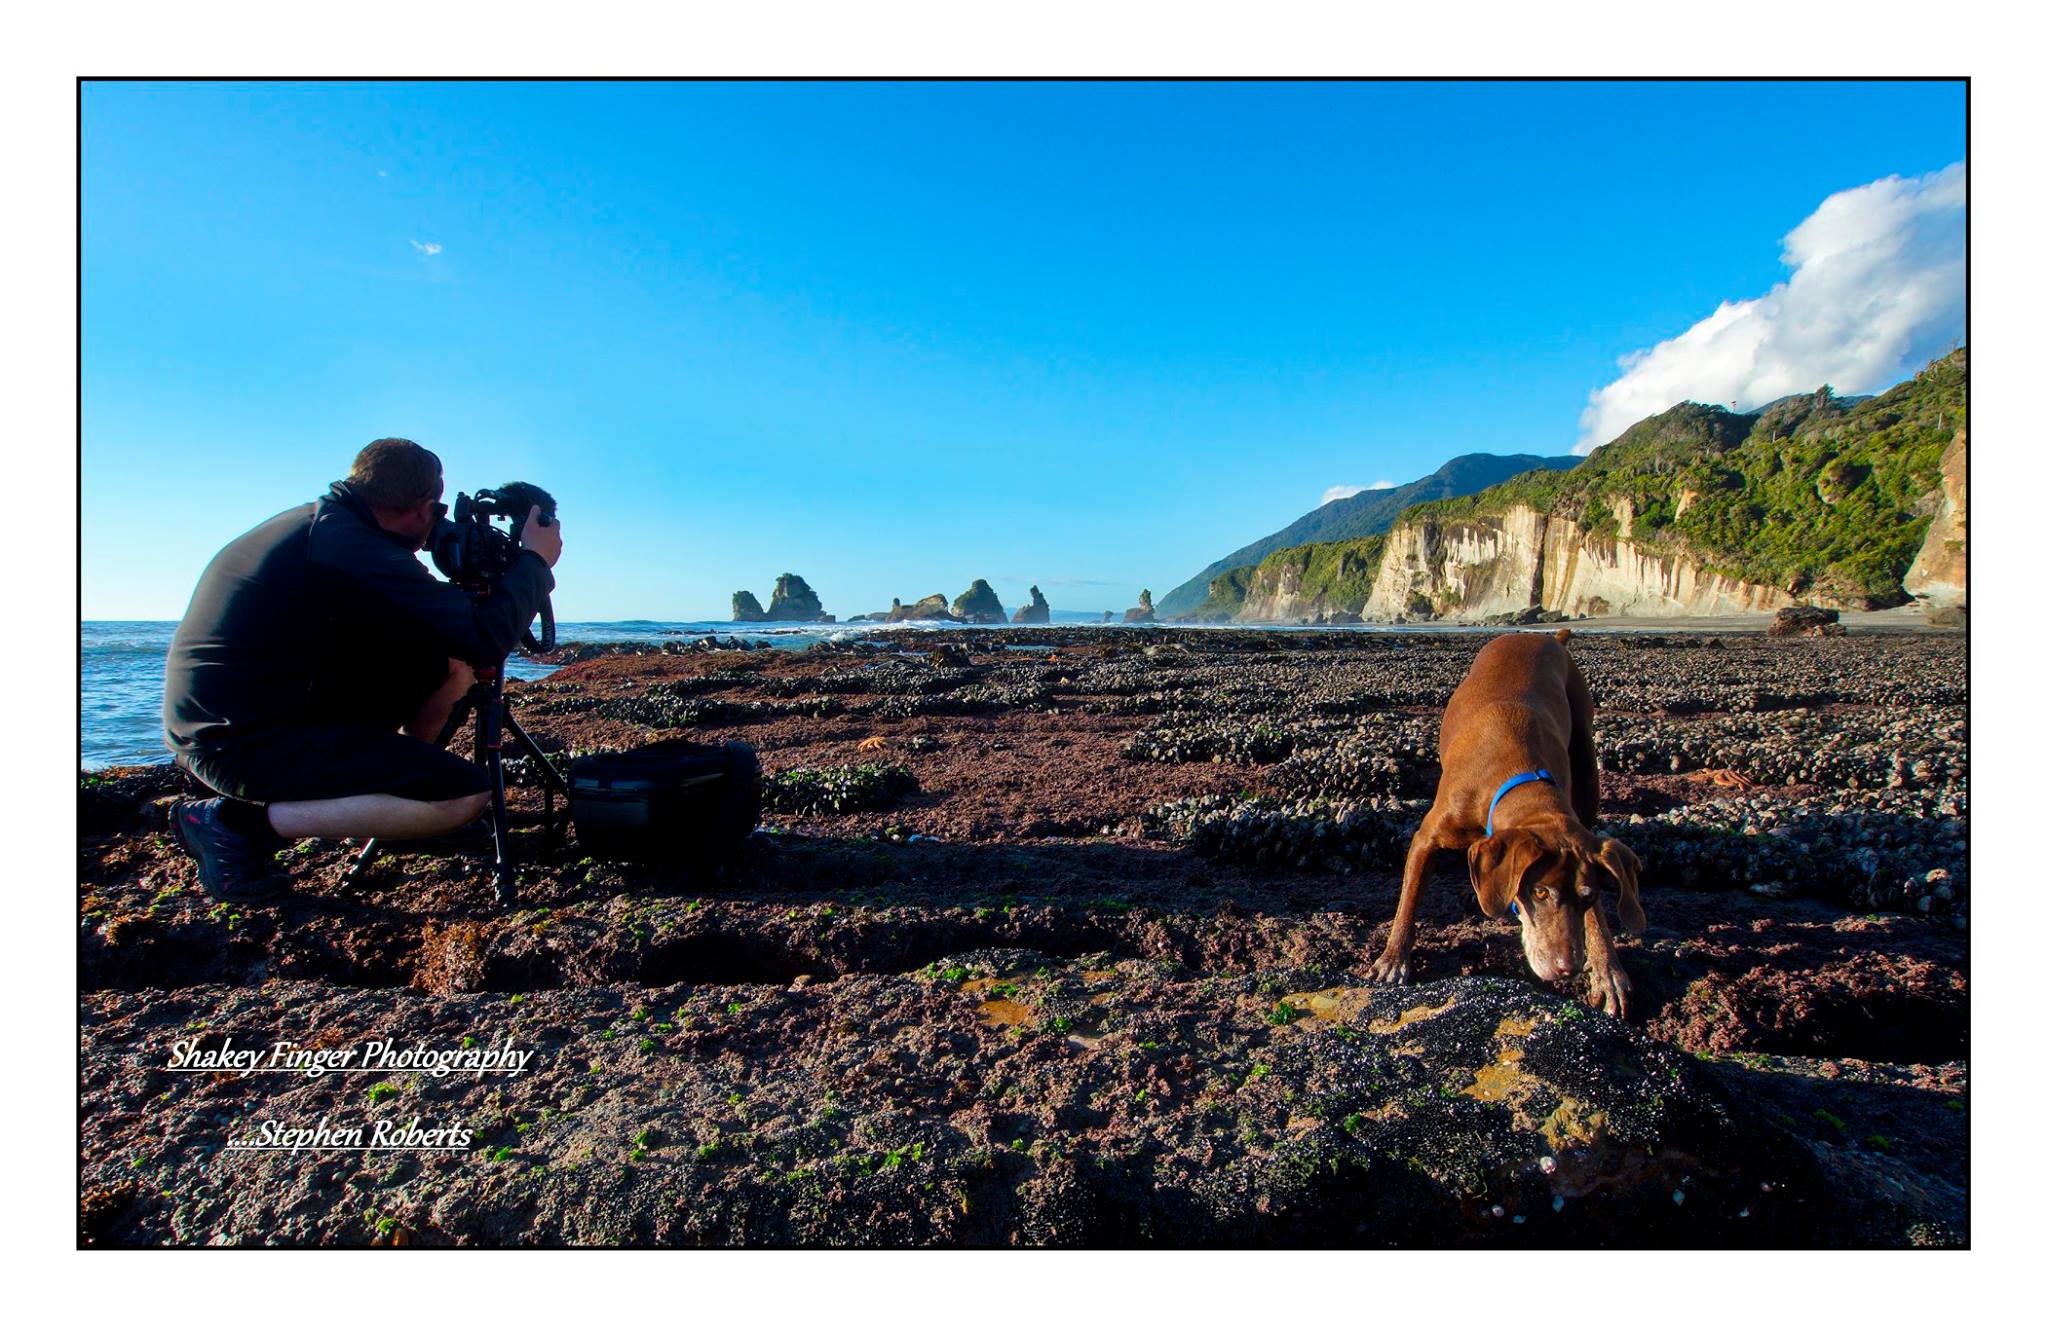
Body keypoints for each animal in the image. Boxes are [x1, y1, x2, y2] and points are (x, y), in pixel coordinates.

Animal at [1376, 630, 1646, 1015]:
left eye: (1588, 896)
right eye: (1540, 891)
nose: (1567, 968)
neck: (1519, 778)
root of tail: (1544, 636)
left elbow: (1598, 916)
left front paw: (1608, 970)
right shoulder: (1427, 838)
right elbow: (1409, 899)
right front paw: (1393, 958)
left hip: (1586, 760)